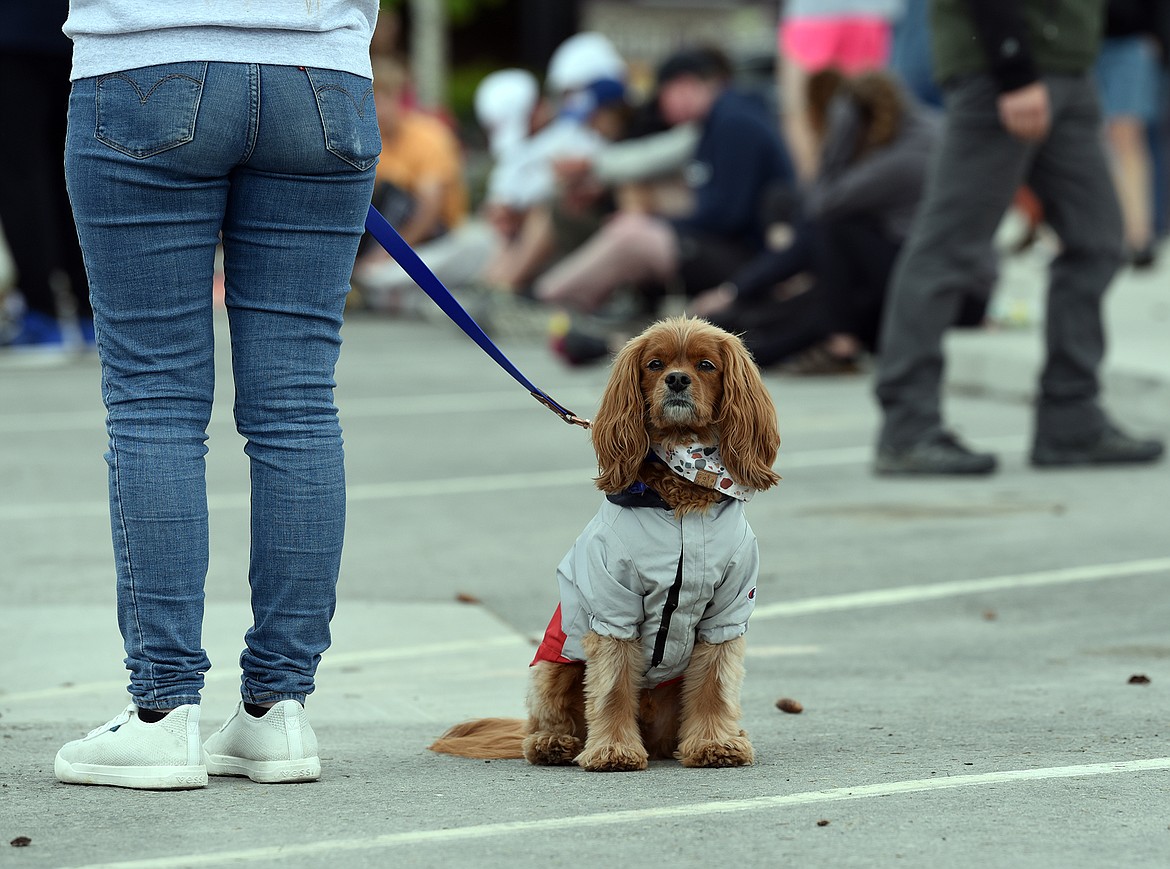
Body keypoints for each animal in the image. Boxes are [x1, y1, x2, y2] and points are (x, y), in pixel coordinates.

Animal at [428, 318, 776, 767]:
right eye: (655, 364)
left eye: (705, 365)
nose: (677, 379)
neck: (681, 497)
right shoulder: (613, 607)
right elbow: (612, 688)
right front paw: (613, 749)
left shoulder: (726, 611)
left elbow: (714, 686)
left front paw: (715, 743)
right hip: (552, 666)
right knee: (546, 721)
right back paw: (555, 743)